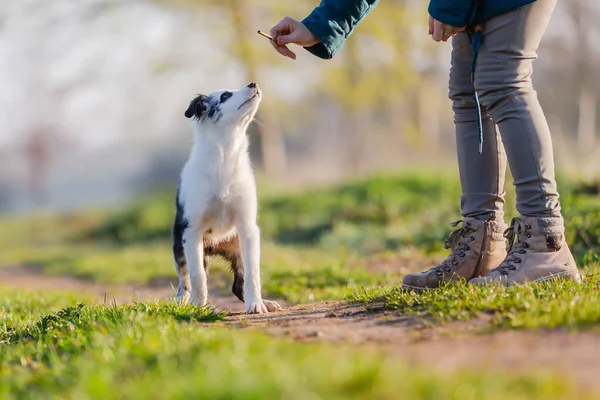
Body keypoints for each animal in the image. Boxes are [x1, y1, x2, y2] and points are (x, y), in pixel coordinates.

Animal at [171, 83, 278, 314]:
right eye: (225, 96)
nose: (253, 84)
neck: (225, 154)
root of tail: (216, 247)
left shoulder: (248, 228)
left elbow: (253, 275)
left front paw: (256, 305)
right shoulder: (191, 232)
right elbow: (198, 277)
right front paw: (198, 307)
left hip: (237, 247)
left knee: (239, 284)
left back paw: (264, 302)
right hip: (180, 246)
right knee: (185, 280)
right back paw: (181, 301)